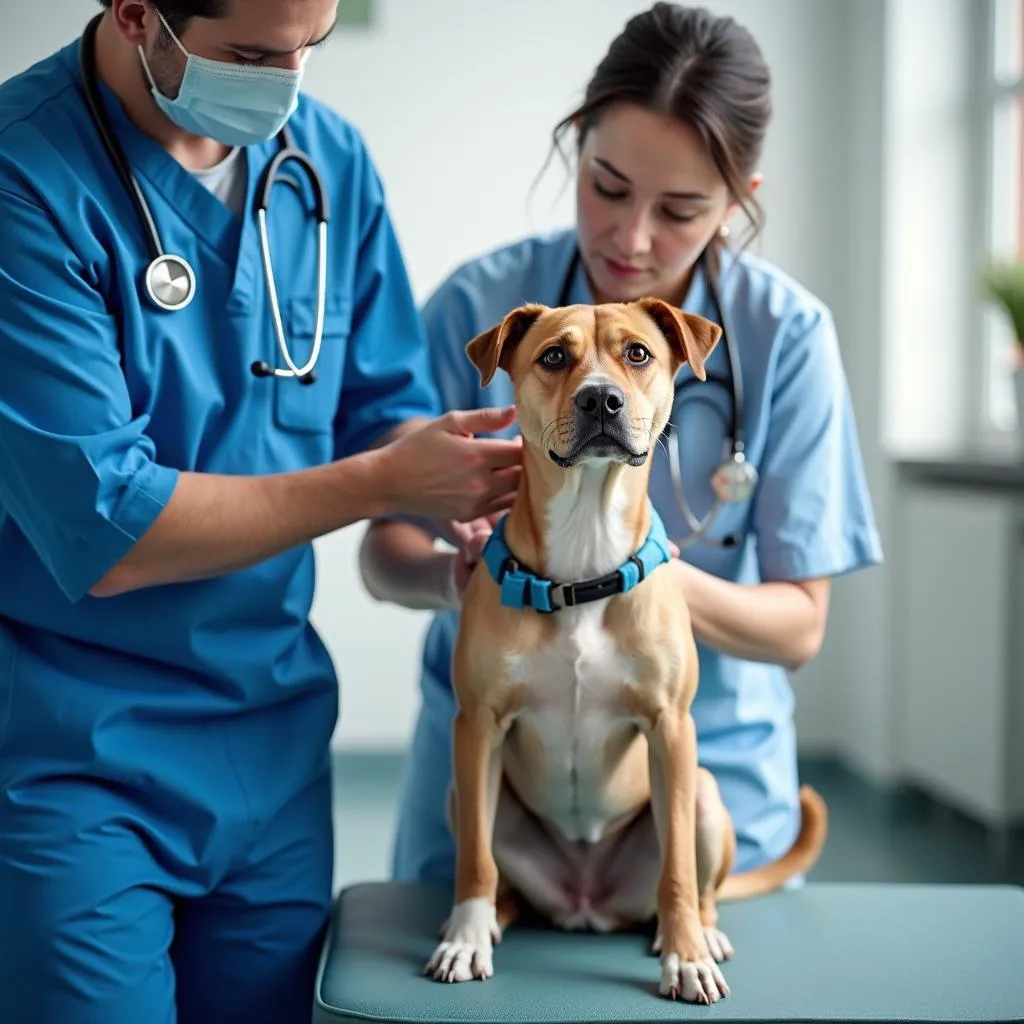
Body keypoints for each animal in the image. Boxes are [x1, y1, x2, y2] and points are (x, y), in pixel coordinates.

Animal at [428, 296, 827, 999]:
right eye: (554, 355)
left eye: (637, 353)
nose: (601, 400)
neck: (585, 560)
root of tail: (589, 903)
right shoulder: (477, 726)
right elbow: (474, 859)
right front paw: (465, 937)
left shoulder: (670, 727)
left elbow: (678, 872)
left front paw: (686, 956)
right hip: (472, 792)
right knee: (499, 871)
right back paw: (496, 917)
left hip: (704, 793)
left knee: (700, 887)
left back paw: (699, 933)